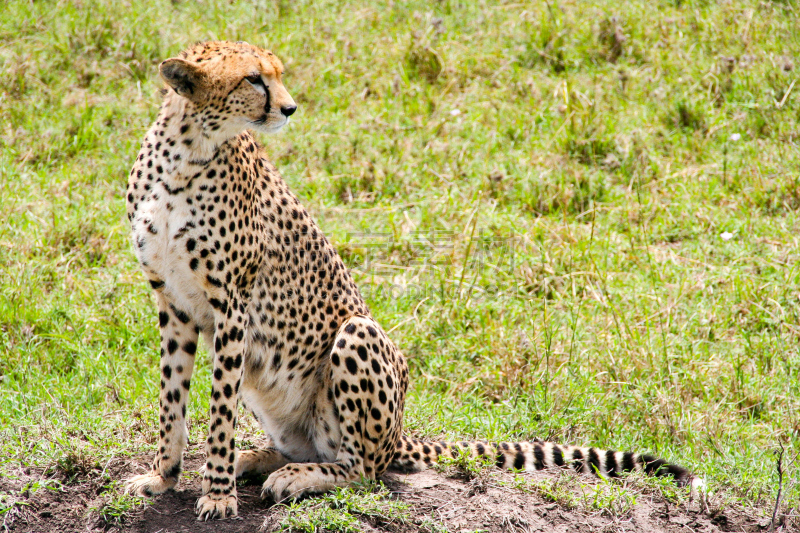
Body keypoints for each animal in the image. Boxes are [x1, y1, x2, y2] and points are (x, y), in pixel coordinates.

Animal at [123, 41, 700, 520]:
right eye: (252, 79)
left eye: (277, 75)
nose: (289, 109)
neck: (187, 153)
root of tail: (399, 433)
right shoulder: (173, 303)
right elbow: (171, 399)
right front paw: (163, 477)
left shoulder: (232, 305)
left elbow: (217, 410)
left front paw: (217, 494)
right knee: (312, 446)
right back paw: (260, 459)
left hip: (357, 334)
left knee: (363, 468)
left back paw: (295, 476)